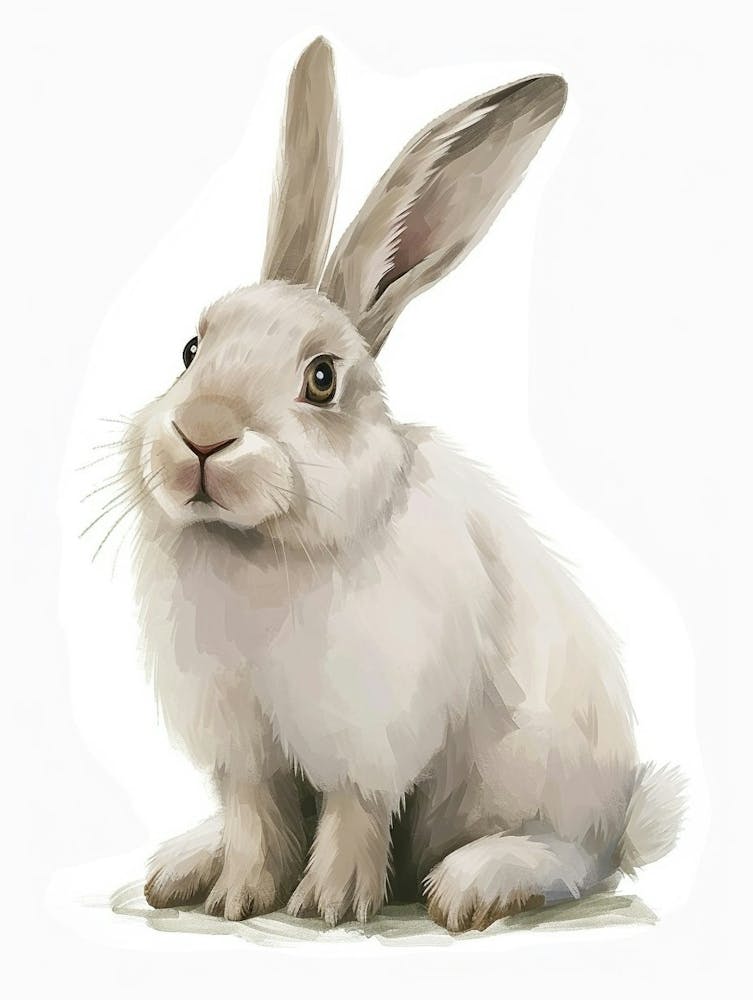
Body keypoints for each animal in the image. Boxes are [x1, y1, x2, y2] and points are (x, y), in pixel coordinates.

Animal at [114, 36, 685, 930]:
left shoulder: (369, 730)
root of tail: (623, 814)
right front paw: (238, 897)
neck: (261, 548)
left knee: (568, 858)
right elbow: (253, 813)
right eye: (190, 349)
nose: (201, 432)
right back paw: (181, 866)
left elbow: (354, 809)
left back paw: (473, 884)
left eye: (321, 379)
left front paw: (328, 905)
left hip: (532, 778)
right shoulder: (242, 746)